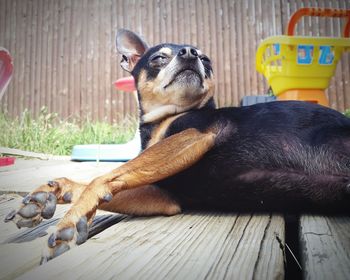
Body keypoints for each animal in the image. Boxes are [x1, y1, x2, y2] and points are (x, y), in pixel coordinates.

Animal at [3, 29, 350, 262]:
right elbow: (105, 181)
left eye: (206, 59)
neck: (164, 118)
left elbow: (103, 177)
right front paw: (48, 194)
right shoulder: (166, 196)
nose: (190, 53)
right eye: (159, 57)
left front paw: (70, 220)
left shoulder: (192, 137)